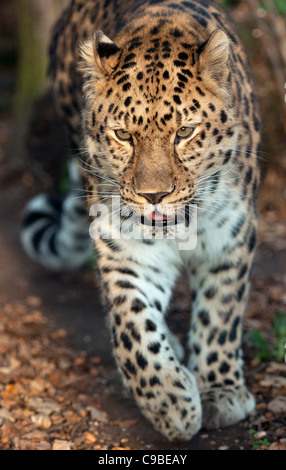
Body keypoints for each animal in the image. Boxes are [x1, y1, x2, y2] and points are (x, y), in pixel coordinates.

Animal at [21, 0, 260, 440]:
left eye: (184, 132)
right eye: (123, 135)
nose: (153, 196)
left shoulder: (231, 237)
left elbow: (221, 312)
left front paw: (219, 389)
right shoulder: (127, 249)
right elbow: (133, 327)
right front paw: (171, 403)